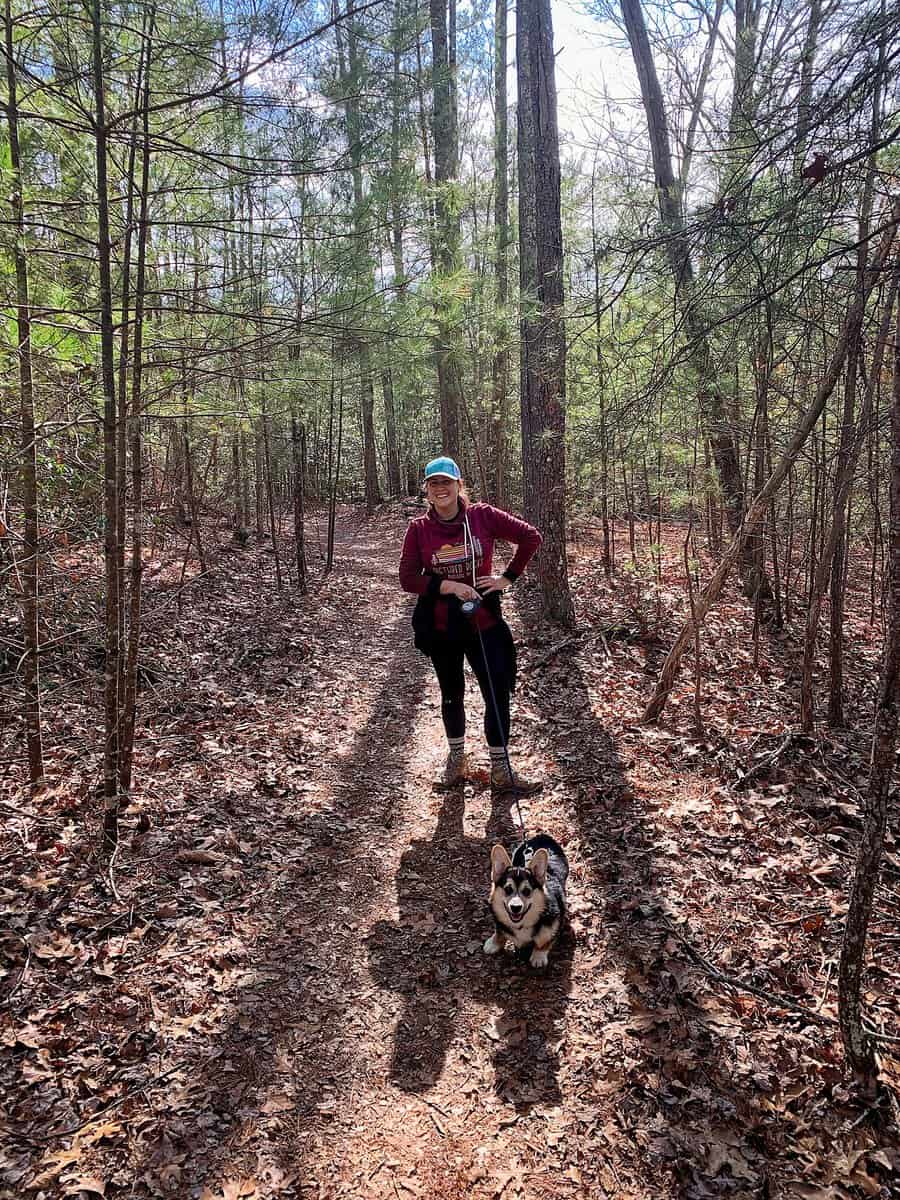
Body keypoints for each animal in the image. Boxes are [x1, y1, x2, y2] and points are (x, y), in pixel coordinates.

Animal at [487, 840, 571, 969]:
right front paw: (493, 943)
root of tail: (542, 837)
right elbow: (499, 932)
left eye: (527, 891)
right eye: (508, 889)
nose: (515, 908)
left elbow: (544, 940)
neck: (522, 924)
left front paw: (538, 956)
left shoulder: (553, 924)